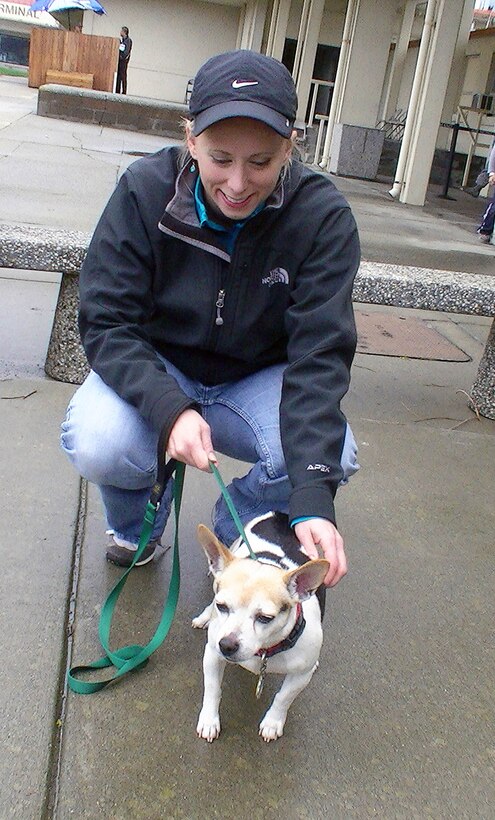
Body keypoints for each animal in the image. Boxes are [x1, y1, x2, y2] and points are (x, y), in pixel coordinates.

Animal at [194, 512, 330, 744]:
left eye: (265, 618)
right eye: (222, 607)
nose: (227, 645)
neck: (265, 650)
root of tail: (278, 515)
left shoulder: (300, 677)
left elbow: (284, 697)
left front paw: (273, 722)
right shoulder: (212, 655)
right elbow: (212, 689)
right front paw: (209, 720)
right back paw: (204, 617)